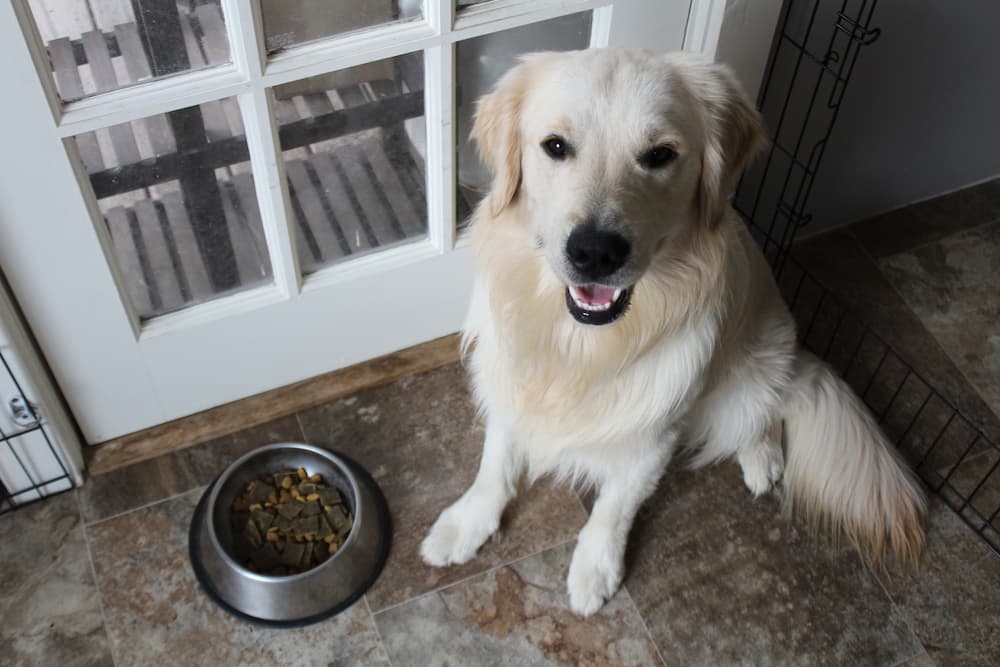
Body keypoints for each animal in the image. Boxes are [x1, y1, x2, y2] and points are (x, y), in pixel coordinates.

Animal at [418, 49, 924, 620]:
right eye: (556, 146)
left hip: (761, 360)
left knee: (768, 408)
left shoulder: (655, 430)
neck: (578, 348)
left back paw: (763, 457)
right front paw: (466, 524)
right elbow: (494, 466)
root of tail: (797, 350)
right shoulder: (510, 384)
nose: (595, 252)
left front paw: (596, 569)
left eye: (660, 154)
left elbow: (615, 507)